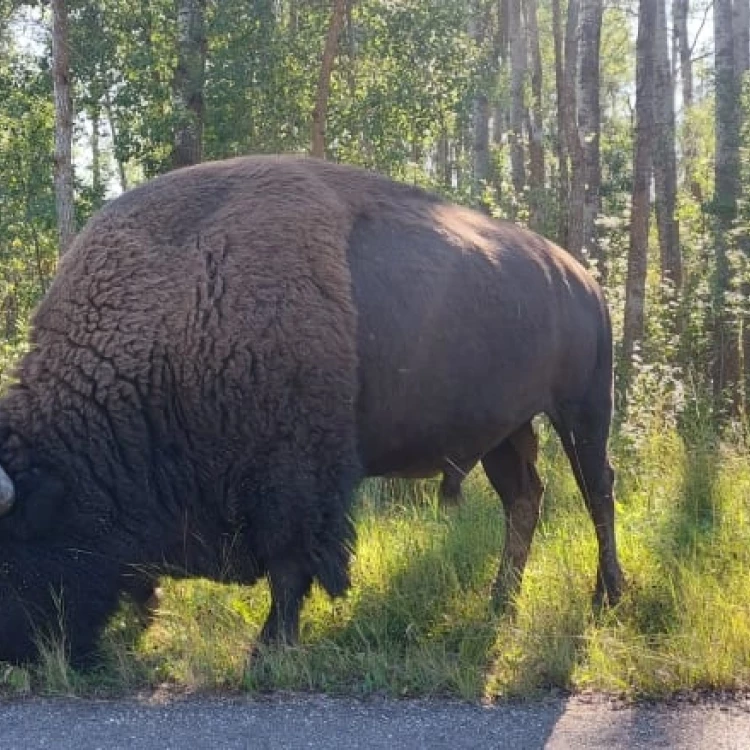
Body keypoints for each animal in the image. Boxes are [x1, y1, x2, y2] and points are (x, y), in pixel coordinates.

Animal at [0, 157, 624, 664]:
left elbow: (290, 565)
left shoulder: (291, 481)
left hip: (582, 410)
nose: (15, 656)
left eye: (12, 543)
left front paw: (270, 647)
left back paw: (607, 597)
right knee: (525, 498)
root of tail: (583, 278)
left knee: (597, 490)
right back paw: (501, 603)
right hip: (505, 432)